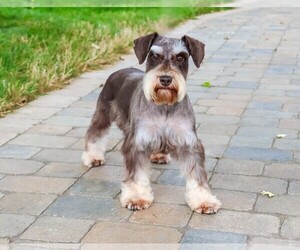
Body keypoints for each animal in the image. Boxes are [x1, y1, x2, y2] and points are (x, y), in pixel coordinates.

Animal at [81, 32, 220, 214]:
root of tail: (119, 71)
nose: (165, 79)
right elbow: (136, 175)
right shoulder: (137, 142)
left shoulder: (189, 143)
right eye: (154, 56)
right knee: (95, 133)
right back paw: (93, 157)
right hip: (103, 114)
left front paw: (204, 200)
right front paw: (136, 197)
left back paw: (158, 155)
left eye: (181, 57)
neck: (164, 106)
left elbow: (197, 174)